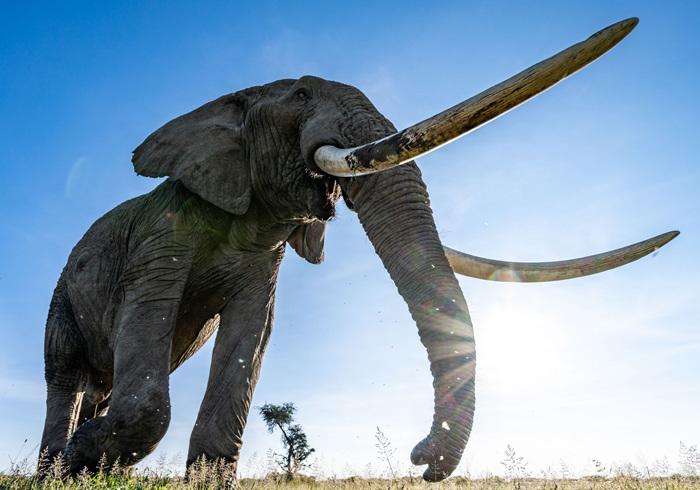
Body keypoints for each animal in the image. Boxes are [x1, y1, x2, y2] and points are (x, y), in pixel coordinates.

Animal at [38, 18, 680, 482]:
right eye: (299, 94)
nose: (422, 459)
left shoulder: (263, 263)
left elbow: (250, 336)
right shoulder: (164, 229)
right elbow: (149, 358)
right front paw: (82, 460)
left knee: (94, 387)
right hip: (61, 303)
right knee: (67, 382)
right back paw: (56, 467)